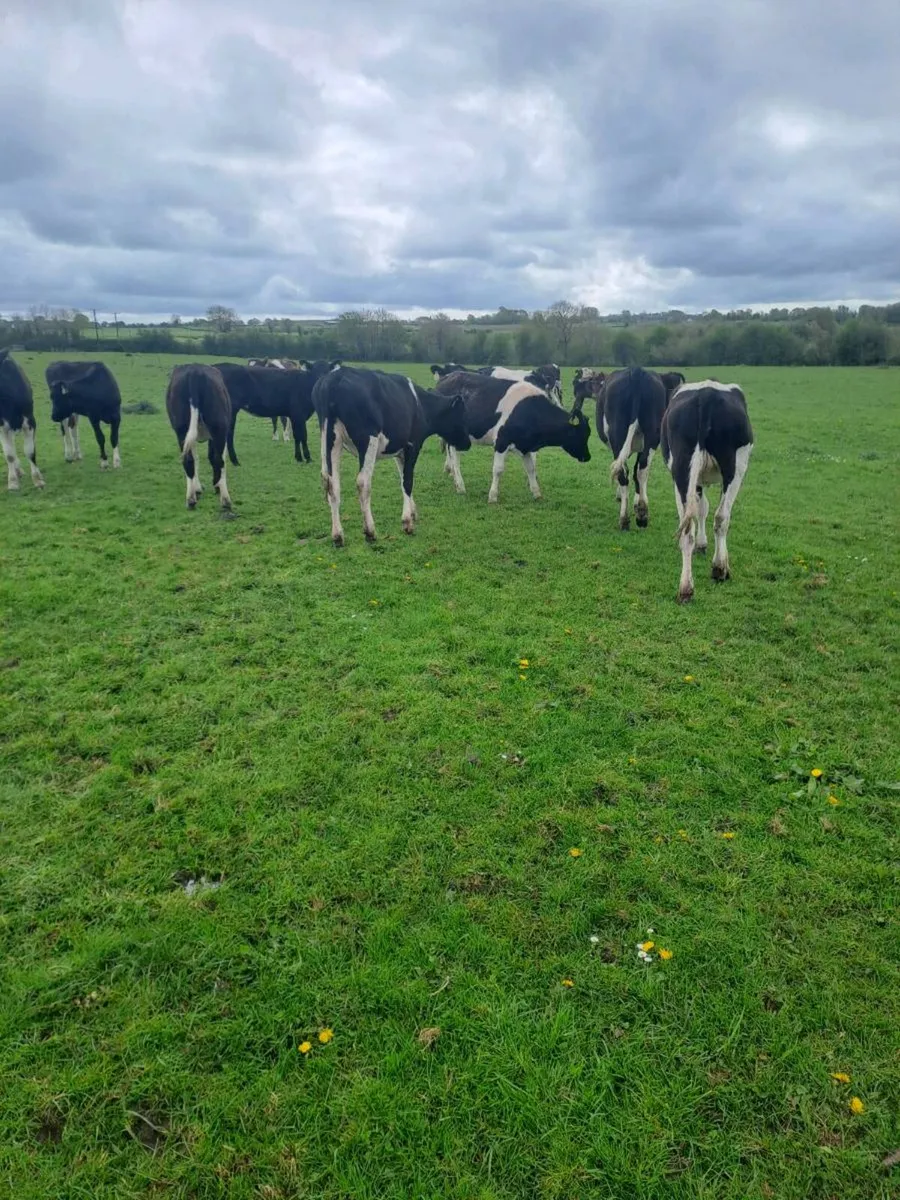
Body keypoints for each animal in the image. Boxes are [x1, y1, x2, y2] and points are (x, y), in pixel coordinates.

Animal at [0, 350, 45, 492]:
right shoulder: (2, 425)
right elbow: (9, 454)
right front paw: (13, 482)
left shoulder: (30, 421)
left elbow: (30, 451)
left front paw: (37, 479)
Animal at [165, 364, 233, 511]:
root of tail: (195, 371)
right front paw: (216, 485)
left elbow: (197, 458)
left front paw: (198, 488)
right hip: (219, 428)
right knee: (218, 460)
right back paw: (225, 499)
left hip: (182, 429)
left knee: (188, 459)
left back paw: (191, 499)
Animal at [313, 366, 470, 546]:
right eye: (462, 415)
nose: (468, 443)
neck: (421, 405)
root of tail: (335, 377)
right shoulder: (413, 446)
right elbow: (408, 481)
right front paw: (408, 522)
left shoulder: (399, 451)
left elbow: (403, 479)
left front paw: (413, 512)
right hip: (368, 439)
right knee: (362, 482)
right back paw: (370, 531)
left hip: (330, 439)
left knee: (331, 483)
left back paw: (338, 535)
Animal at [433, 370, 590, 502]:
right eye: (581, 435)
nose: (588, 457)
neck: (529, 411)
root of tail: (447, 377)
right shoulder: (501, 442)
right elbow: (498, 470)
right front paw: (493, 496)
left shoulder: (525, 446)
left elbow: (531, 469)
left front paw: (537, 493)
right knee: (454, 457)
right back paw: (460, 486)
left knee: (452, 452)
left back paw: (454, 479)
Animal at [661, 380, 754, 603]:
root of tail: (706, 395)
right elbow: (710, 511)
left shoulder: (697, 481)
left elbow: (701, 509)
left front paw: (701, 545)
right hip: (734, 468)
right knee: (722, 517)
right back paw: (719, 569)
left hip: (681, 470)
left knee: (686, 529)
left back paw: (685, 588)